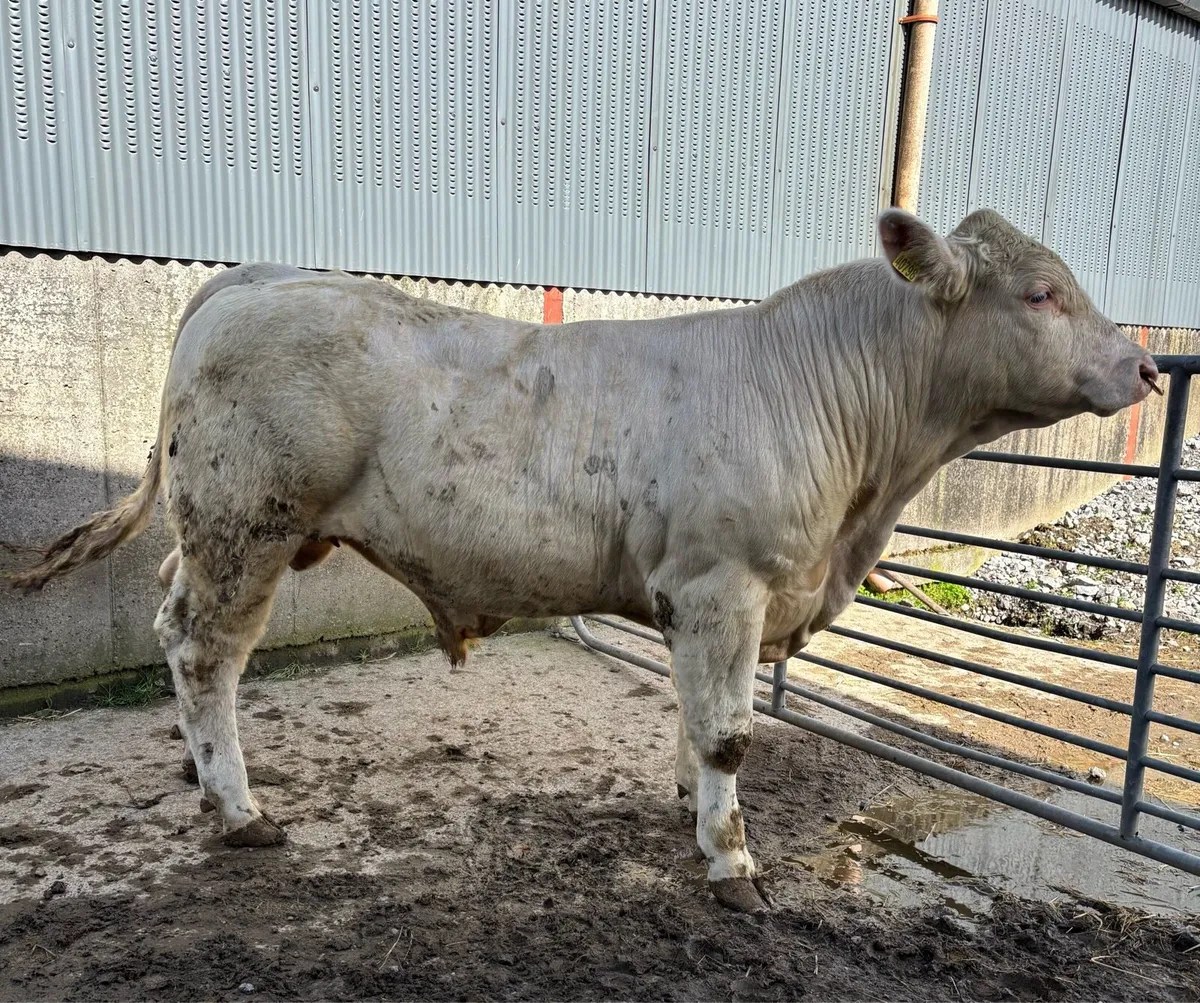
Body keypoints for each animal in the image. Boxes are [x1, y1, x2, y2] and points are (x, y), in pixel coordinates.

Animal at [9, 209, 1158, 912]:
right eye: (1043, 293)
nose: (1148, 366)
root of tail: (253, 279)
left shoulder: (710, 603)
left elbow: (701, 720)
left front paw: (692, 806)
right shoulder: (721, 583)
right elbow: (734, 734)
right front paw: (732, 861)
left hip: (210, 533)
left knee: (171, 619)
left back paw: (197, 770)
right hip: (246, 524)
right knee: (207, 653)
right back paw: (241, 808)